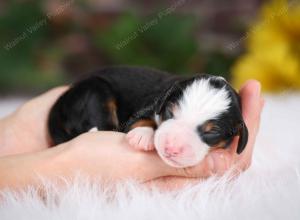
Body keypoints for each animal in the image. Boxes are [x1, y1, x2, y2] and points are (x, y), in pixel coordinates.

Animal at [48, 66, 247, 168]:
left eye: (212, 132)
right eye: (170, 113)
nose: (172, 148)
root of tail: (61, 101)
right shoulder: (151, 103)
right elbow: (142, 119)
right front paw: (143, 135)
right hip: (95, 93)